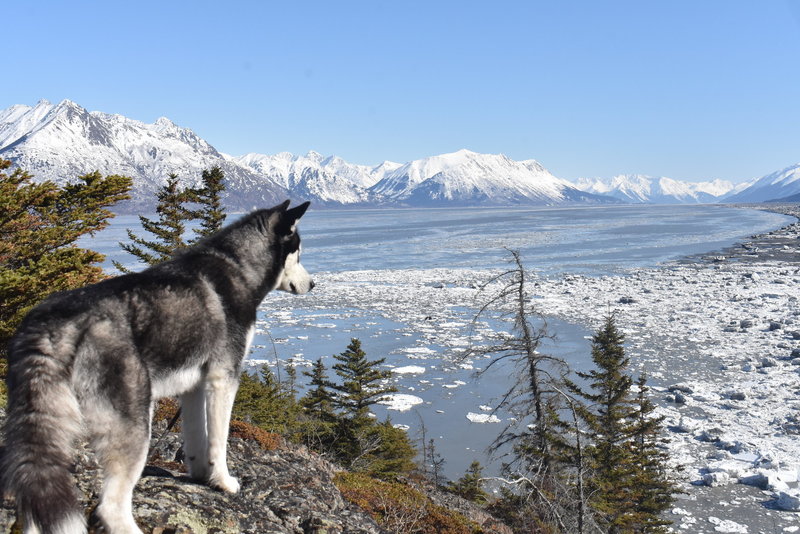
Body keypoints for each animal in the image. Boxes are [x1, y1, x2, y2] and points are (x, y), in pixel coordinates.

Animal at [0, 202, 312, 534]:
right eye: (298, 253)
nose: (313, 284)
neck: (238, 266)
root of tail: (51, 324)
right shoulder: (223, 378)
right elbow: (218, 441)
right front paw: (223, 482)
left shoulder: (193, 386)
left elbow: (197, 438)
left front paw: (201, 475)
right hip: (136, 422)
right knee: (111, 508)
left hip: (50, 429)